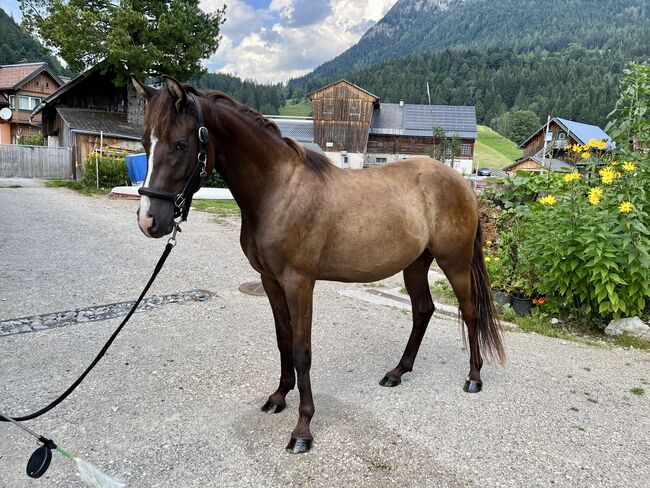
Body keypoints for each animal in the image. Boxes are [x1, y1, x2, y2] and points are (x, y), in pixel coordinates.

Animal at [130, 75, 502, 454]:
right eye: (146, 142)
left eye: (179, 144)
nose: (149, 221)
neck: (278, 190)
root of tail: (463, 184)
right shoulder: (270, 281)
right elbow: (283, 340)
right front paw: (279, 397)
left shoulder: (299, 282)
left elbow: (301, 350)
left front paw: (303, 428)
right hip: (415, 264)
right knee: (423, 310)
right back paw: (397, 373)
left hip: (454, 262)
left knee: (470, 312)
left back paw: (473, 377)